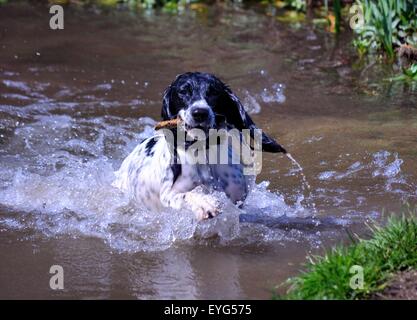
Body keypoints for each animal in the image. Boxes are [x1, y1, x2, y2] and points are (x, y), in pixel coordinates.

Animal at [110, 72, 286, 220]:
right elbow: (188, 194)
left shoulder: (238, 197)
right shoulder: (168, 195)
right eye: (183, 92)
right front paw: (205, 204)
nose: (200, 112)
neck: (203, 151)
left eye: (214, 92)